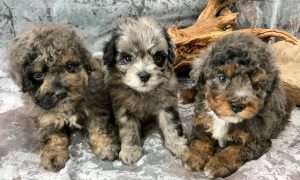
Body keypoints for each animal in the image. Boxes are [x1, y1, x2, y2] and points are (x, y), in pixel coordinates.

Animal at [7, 22, 119, 172]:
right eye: (38, 75)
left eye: (70, 66)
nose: (61, 93)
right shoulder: (46, 118)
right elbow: (52, 136)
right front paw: (53, 154)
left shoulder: (97, 105)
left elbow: (99, 126)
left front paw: (106, 146)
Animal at [103, 17, 188, 165]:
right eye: (127, 58)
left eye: (158, 58)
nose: (144, 76)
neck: (144, 93)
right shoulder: (124, 110)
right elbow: (129, 130)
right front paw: (131, 149)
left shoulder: (167, 104)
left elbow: (171, 125)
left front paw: (177, 144)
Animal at [182, 32, 292, 177]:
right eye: (222, 78)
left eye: (256, 85)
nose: (238, 106)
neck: (225, 120)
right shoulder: (202, 120)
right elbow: (200, 139)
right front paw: (194, 156)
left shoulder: (257, 140)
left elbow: (235, 150)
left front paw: (218, 164)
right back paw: (185, 95)